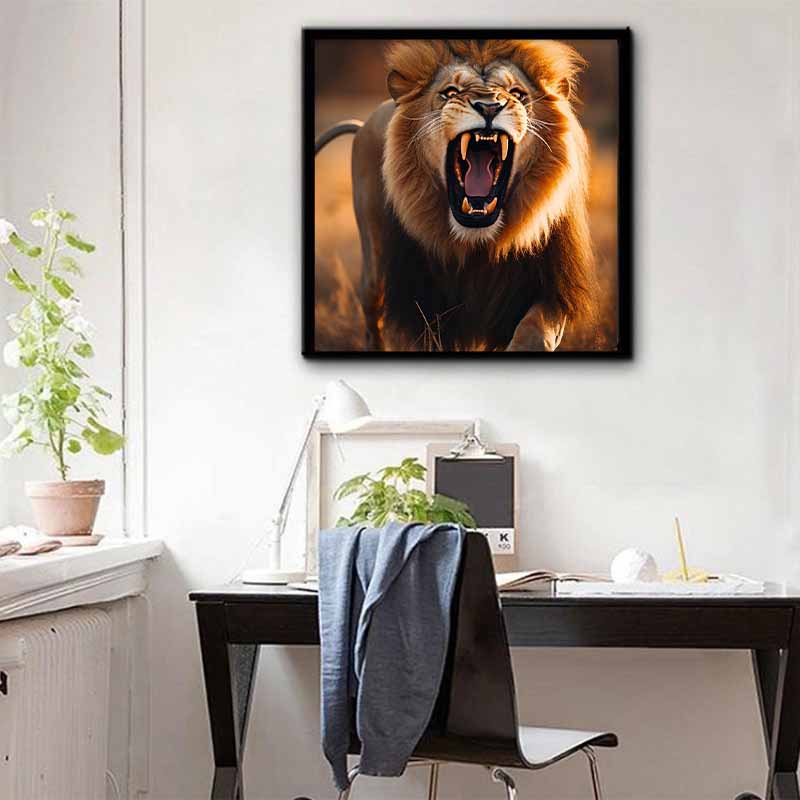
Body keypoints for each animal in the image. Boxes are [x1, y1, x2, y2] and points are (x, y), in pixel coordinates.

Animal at [317, 39, 598, 352]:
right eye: (450, 92)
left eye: (517, 94)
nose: (489, 106)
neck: (479, 242)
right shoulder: (430, 298)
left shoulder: (550, 285)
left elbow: (534, 331)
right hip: (374, 264)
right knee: (373, 314)